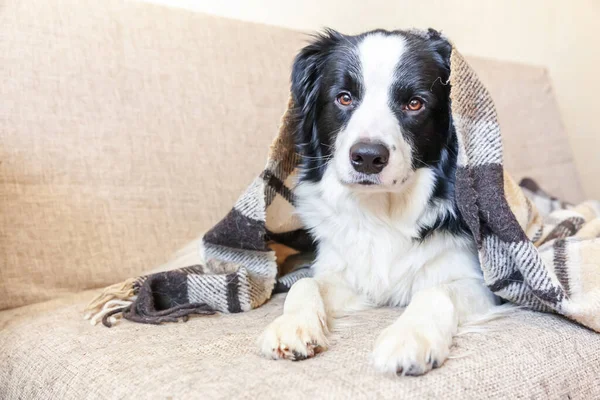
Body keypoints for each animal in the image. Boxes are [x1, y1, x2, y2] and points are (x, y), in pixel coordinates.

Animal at [255, 28, 500, 376]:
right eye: (344, 98)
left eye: (415, 103)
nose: (368, 157)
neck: (383, 211)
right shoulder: (344, 272)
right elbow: (306, 284)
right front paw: (292, 324)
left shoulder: (479, 282)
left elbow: (437, 290)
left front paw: (409, 338)